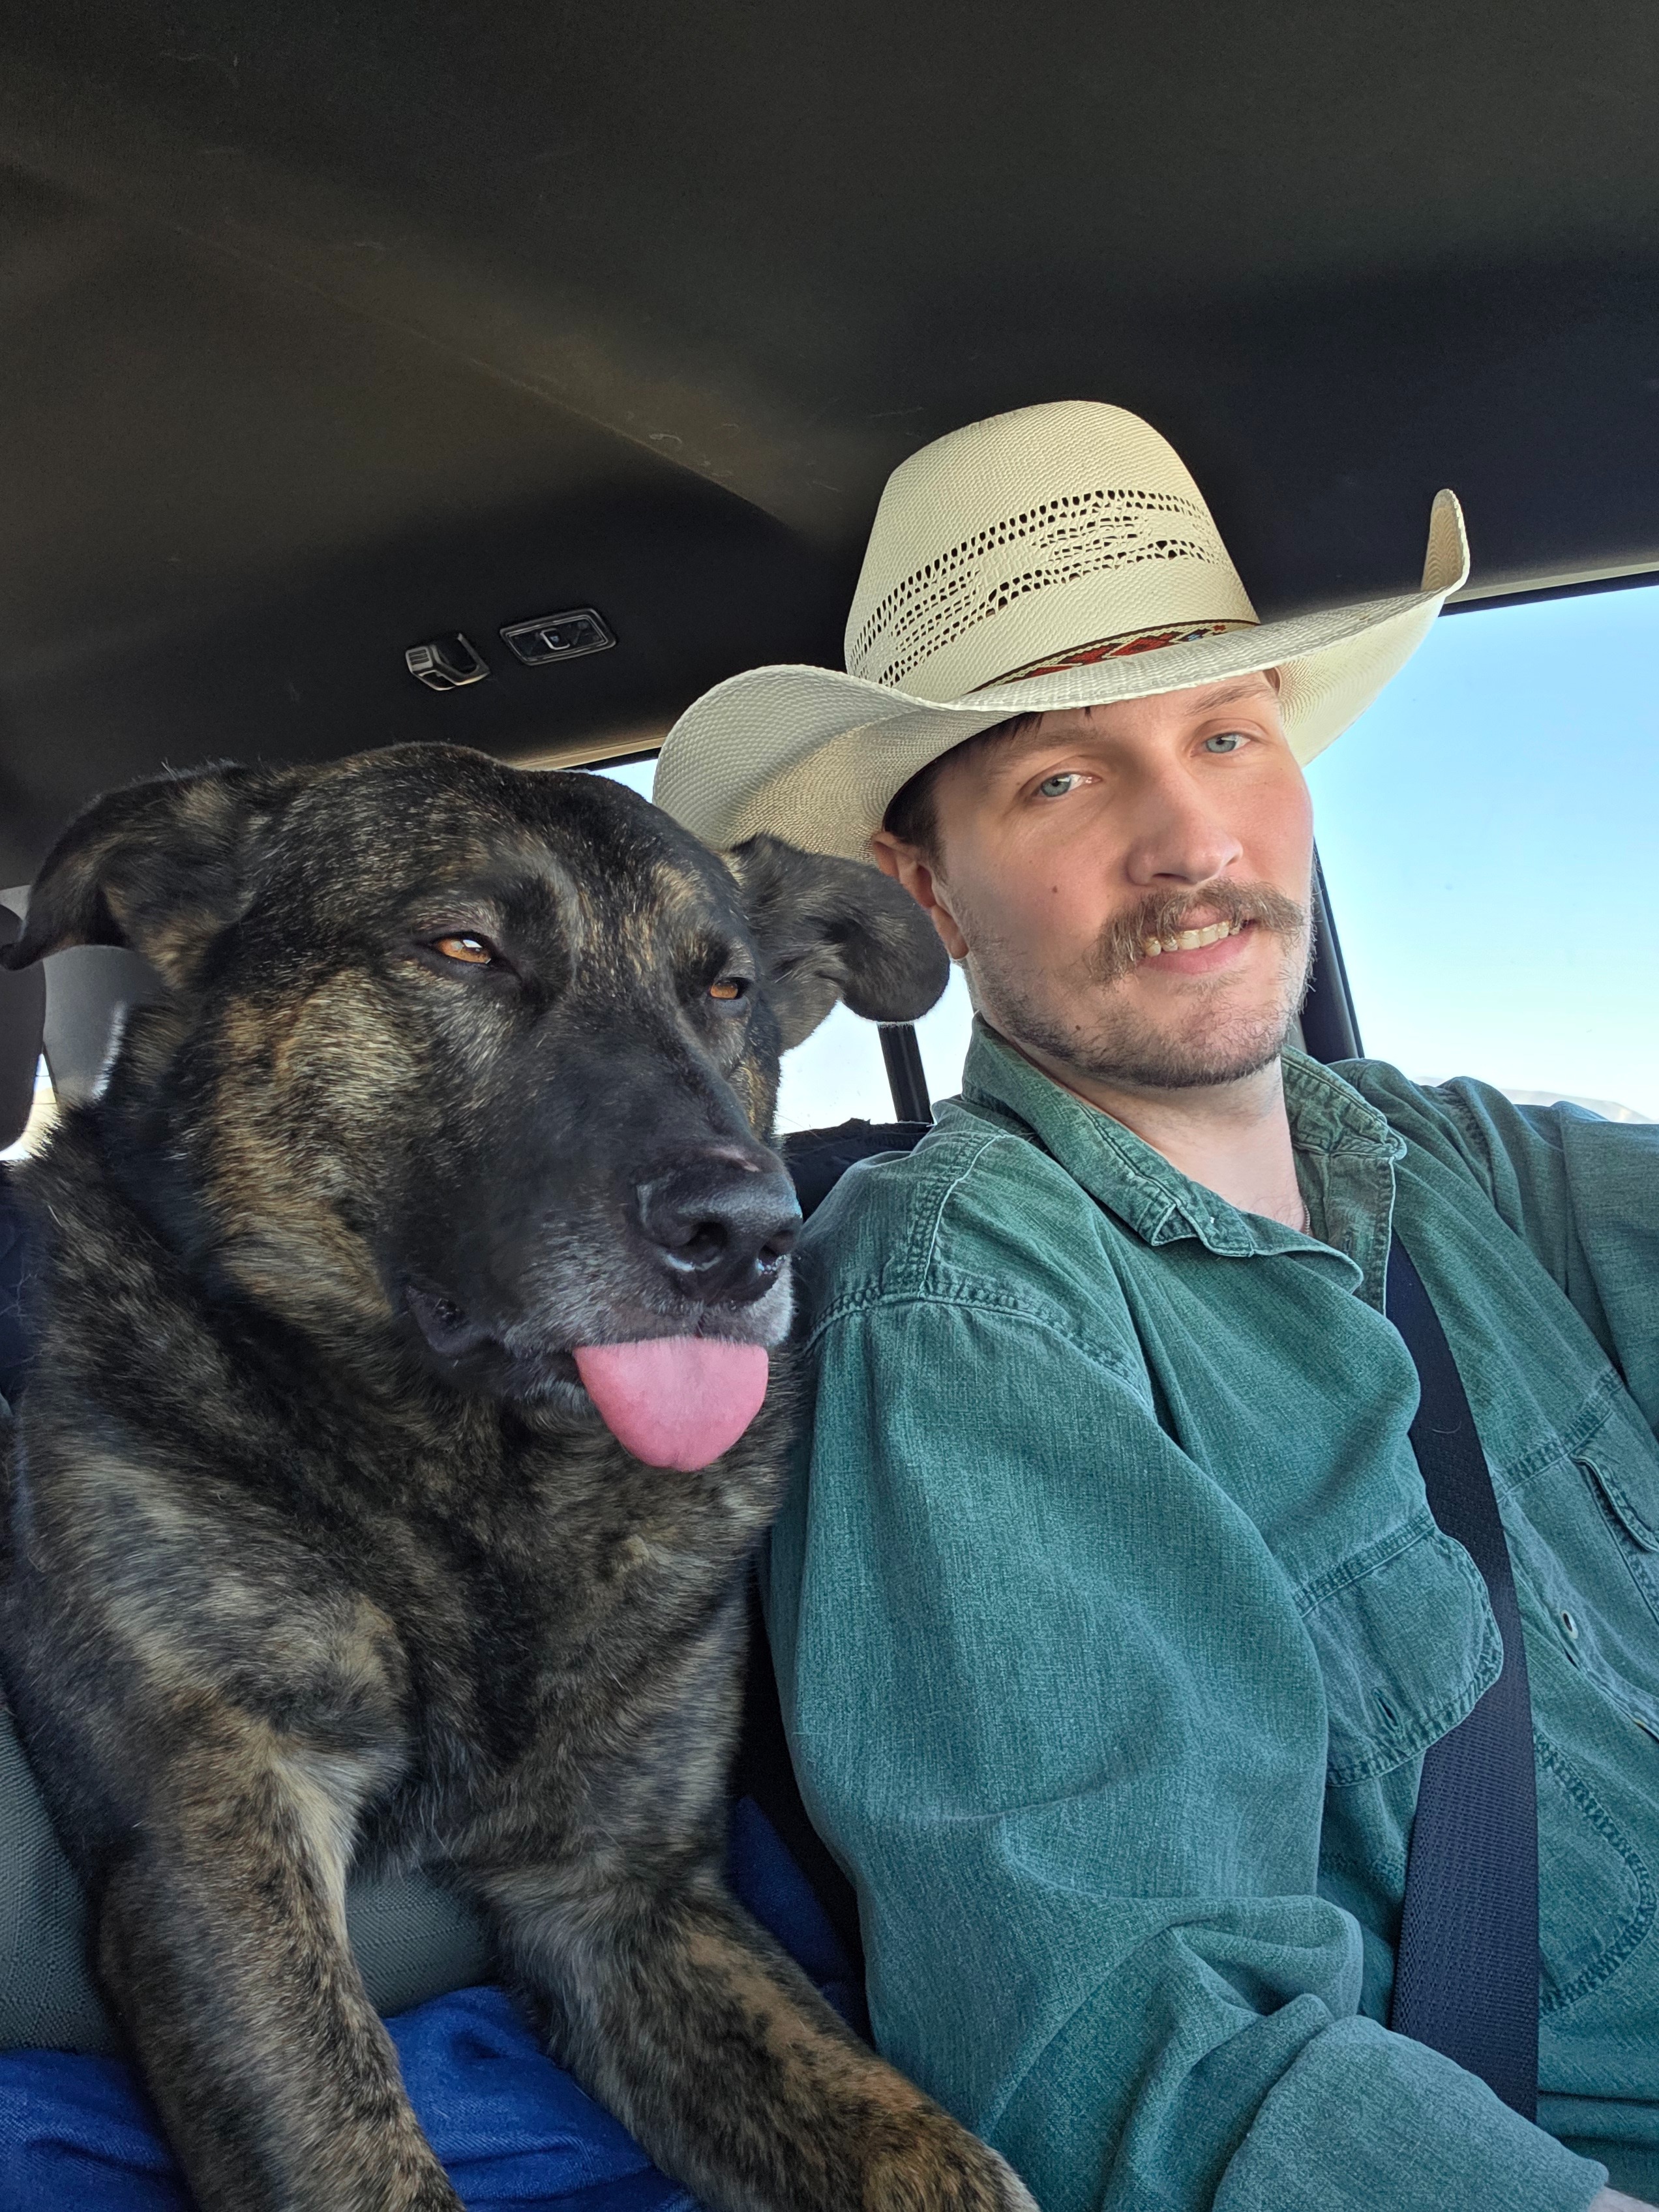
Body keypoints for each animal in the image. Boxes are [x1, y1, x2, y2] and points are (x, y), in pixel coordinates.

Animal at [0, 744, 1031, 2212]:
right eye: (463, 947)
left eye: (726, 989)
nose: (749, 1232)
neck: (478, 1485)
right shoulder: (217, 1839)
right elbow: (355, 2152)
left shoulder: (619, 1895)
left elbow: (929, 2155)